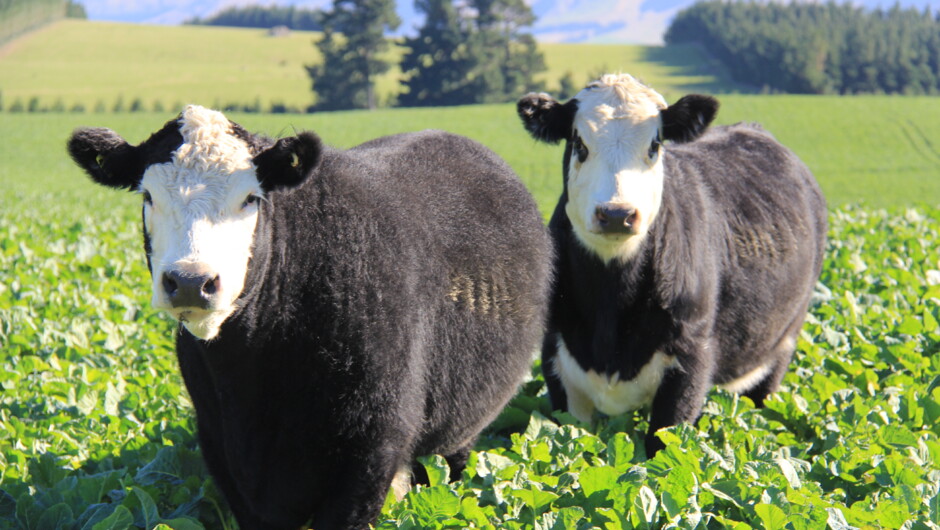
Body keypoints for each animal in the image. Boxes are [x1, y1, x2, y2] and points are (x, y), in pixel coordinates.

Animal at [67, 105, 551, 529]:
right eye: (148, 196)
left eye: (251, 198)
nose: (190, 281)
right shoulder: (224, 453)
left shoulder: (370, 453)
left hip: (460, 432)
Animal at [517, 74, 826, 456]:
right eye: (579, 143)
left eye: (655, 144)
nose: (616, 214)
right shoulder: (557, 359)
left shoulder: (690, 361)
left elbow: (663, 446)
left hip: (781, 343)